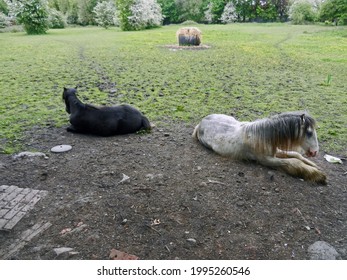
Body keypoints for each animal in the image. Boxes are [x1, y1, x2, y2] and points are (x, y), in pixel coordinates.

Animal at [194, 111, 328, 184]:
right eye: (309, 132)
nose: (315, 152)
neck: (261, 137)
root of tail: (200, 123)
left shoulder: (275, 151)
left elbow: (296, 155)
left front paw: (314, 166)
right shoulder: (267, 160)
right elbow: (294, 162)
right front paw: (318, 175)